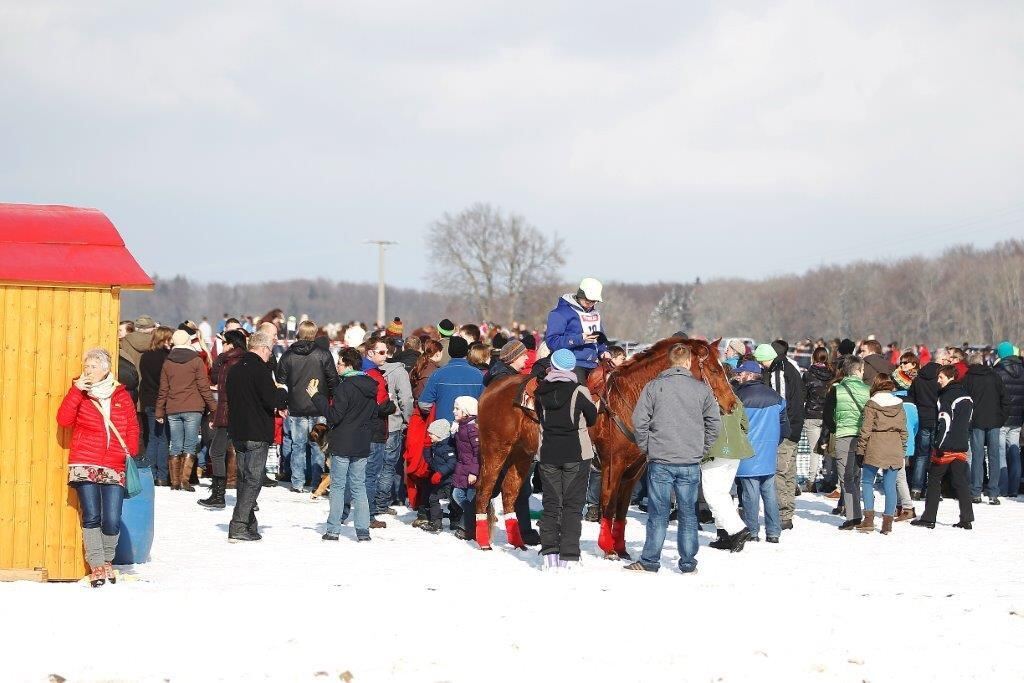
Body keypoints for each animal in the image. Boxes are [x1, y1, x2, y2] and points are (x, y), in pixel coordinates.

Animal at [475, 335, 733, 557]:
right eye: (714, 370)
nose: (732, 403)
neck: (629, 400)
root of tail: (492, 389)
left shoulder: (633, 471)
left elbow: (621, 511)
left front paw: (621, 549)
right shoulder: (612, 465)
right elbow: (608, 504)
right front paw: (608, 548)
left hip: (522, 455)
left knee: (509, 493)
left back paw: (517, 543)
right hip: (496, 451)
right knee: (483, 491)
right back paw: (484, 543)